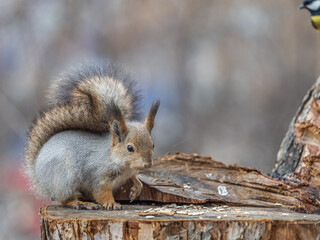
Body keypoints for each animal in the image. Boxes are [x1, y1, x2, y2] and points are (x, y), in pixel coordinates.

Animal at [24, 60, 159, 210]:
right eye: (130, 148)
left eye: (153, 145)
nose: (147, 164)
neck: (121, 163)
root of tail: (38, 177)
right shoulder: (97, 176)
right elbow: (101, 192)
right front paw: (111, 203)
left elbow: (134, 177)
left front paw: (137, 186)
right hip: (64, 178)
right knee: (64, 199)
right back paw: (81, 203)